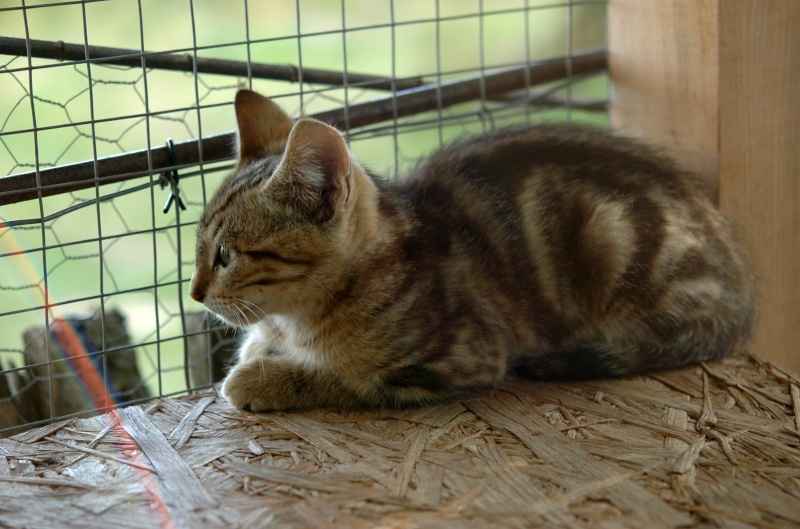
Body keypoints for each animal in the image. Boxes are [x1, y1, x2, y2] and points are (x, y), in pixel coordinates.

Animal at [191, 89, 752, 412]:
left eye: (226, 255)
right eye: (199, 248)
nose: (195, 293)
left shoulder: (459, 359)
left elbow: (348, 379)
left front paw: (261, 381)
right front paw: (259, 350)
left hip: (611, 237)